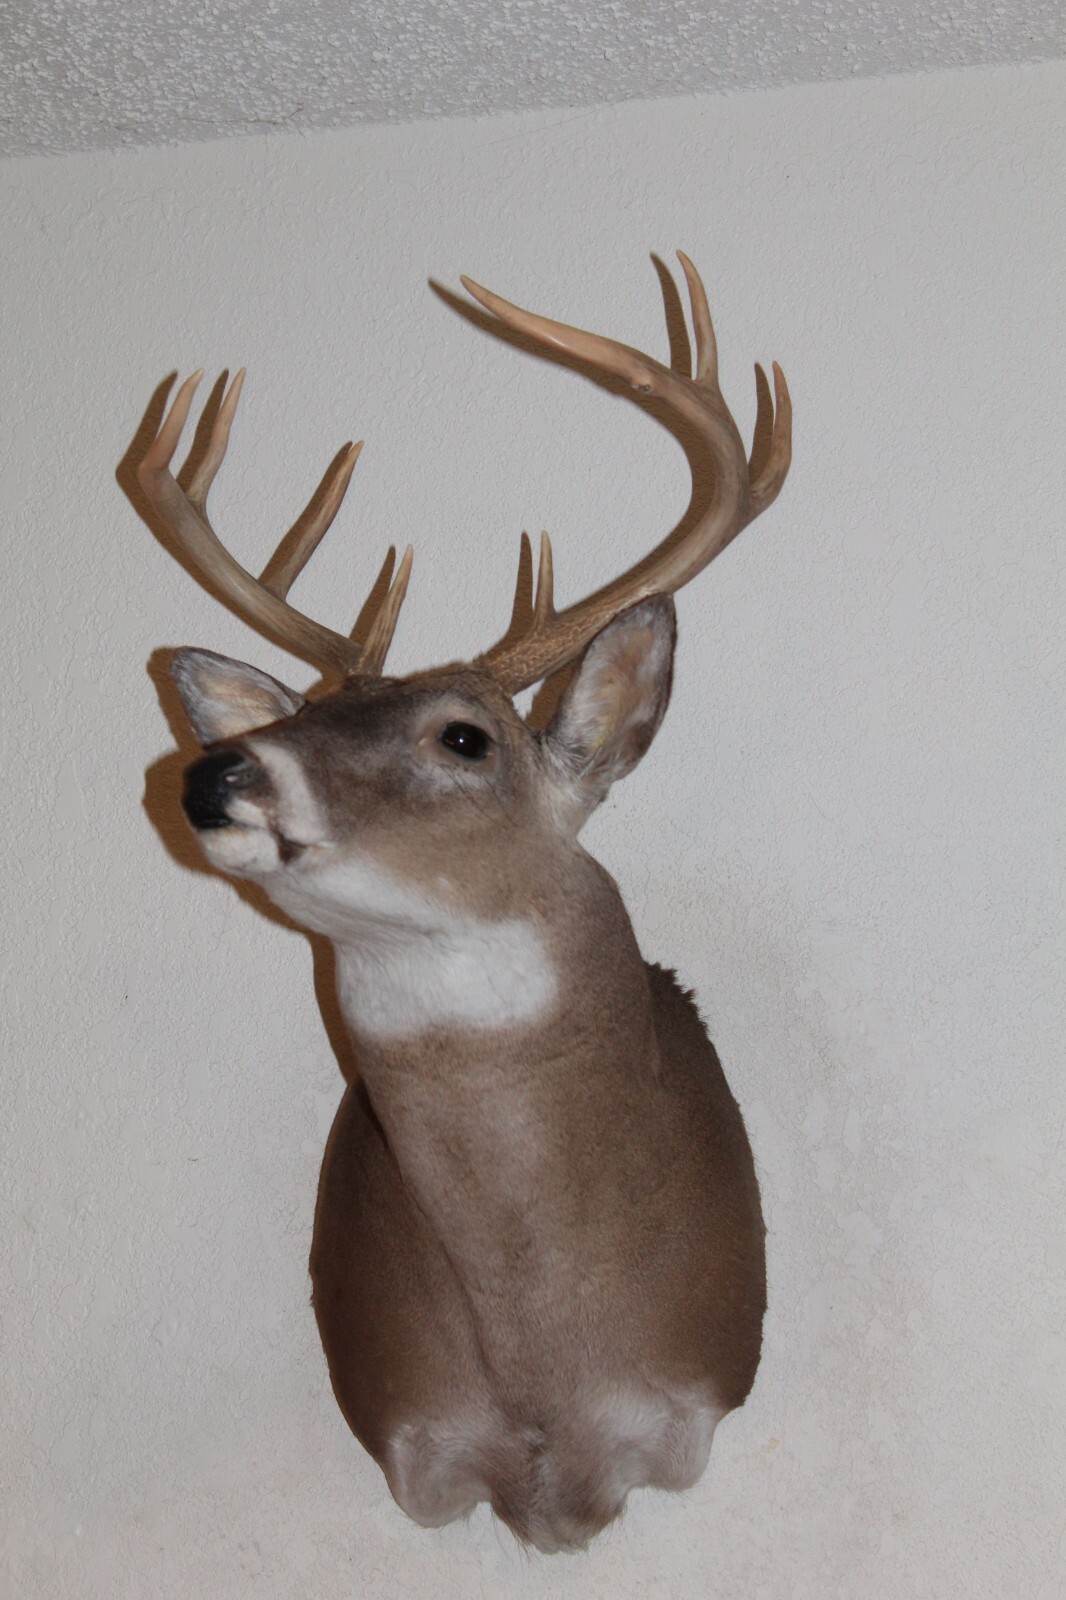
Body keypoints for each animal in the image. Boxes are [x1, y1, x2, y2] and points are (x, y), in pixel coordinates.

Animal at [136, 254, 791, 1553]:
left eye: (464, 736)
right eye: (296, 715)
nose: (214, 773)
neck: (538, 1363)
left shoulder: (683, 1412)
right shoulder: (412, 1448)